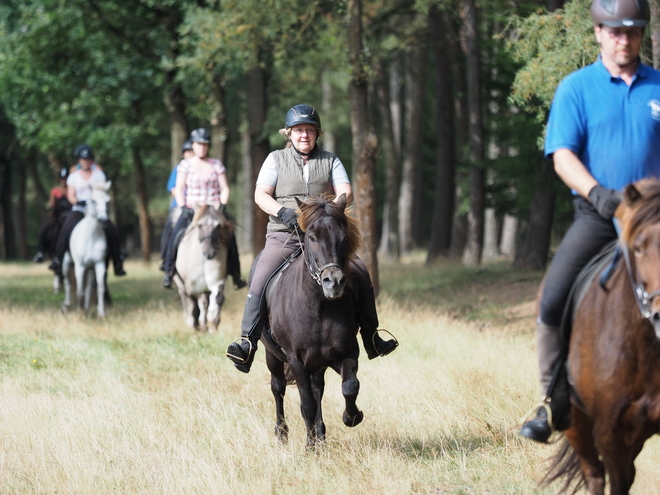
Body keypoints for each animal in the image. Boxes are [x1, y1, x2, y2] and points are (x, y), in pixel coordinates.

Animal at [61, 182, 111, 318]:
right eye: (93, 200)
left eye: (108, 201)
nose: (103, 220)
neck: (92, 237)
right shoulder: (80, 266)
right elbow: (79, 292)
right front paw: (80, 312)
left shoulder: (99, 265)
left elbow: (100, 288)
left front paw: (101, 313)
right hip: (67, 264)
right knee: (68, 283)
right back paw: (67, 306)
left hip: (90, 269)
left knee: (88, 289)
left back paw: (87, 309)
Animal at [173, 205, 232, 334]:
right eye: (200, 225)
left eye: (218, 225)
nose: (209, 253)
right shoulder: (191, 285)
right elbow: (194, 304)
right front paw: (195, 326)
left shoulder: (217, 281)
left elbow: (218, 298)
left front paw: (213, 324)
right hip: (180, 283)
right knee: (187, 299)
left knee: (204, 301)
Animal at [260, 194, 364, 450]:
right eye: (312, 237)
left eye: (344, 237)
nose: (334, 282)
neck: (318, 306)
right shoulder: (296, 360)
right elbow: (305, 403)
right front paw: (310, 449)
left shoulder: (347, 352)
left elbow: (350, 387)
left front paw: (351, 416)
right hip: (272, 356)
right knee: (278, 387)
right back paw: (282, 433)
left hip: (318, 363)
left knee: (318, 391)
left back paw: (321, 435)